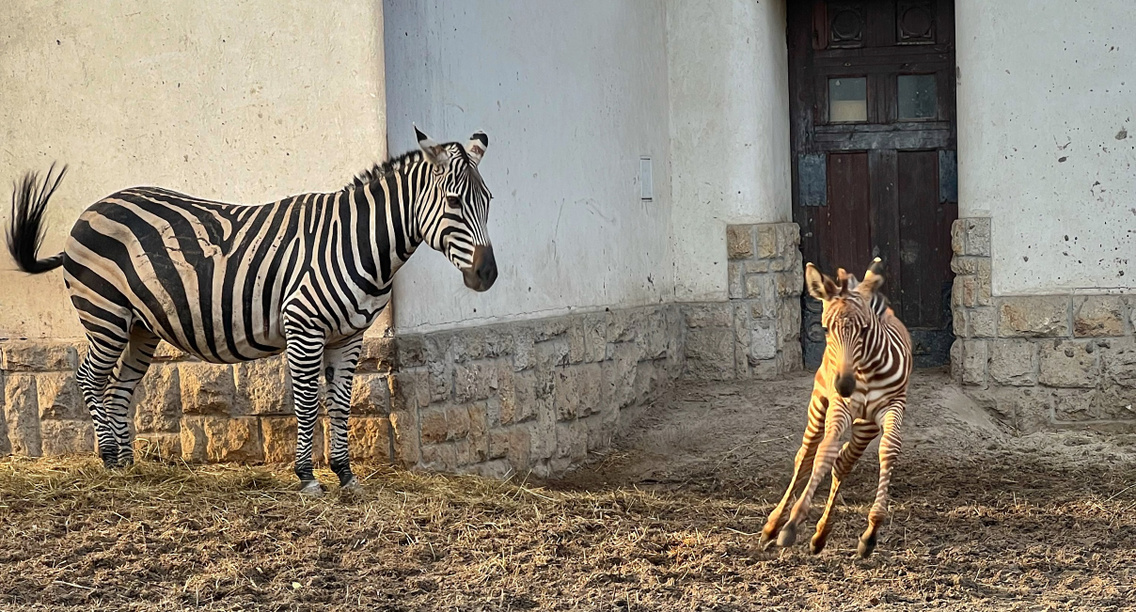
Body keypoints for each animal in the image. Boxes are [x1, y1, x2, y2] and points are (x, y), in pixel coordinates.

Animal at [7, 127, 497, 495]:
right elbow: (306, 402)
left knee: (119, 387)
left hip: (141, 326)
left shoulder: (349, 336)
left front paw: (345, 475)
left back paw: (128, 465)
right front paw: (307, 478)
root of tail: (94, 207)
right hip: (105, 313)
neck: (358, 243)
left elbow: (341, 405)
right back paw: (109, 457)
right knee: (89, 376)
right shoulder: (304, 325)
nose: (487, 275)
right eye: (454, 202)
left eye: (488, 200)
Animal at [763, 261, 913, 558]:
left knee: (843, 462)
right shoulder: (839, 407)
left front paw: (871, 532)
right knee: (806, 454)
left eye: (864, 330)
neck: (865, 369)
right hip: (819, 404)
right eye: (825, 329)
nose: (844, 384)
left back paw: (821, 535)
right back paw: (774, 525)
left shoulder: (892, 406)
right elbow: (824, 451)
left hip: (865, 425)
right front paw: (792, 523)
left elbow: (888, 450)